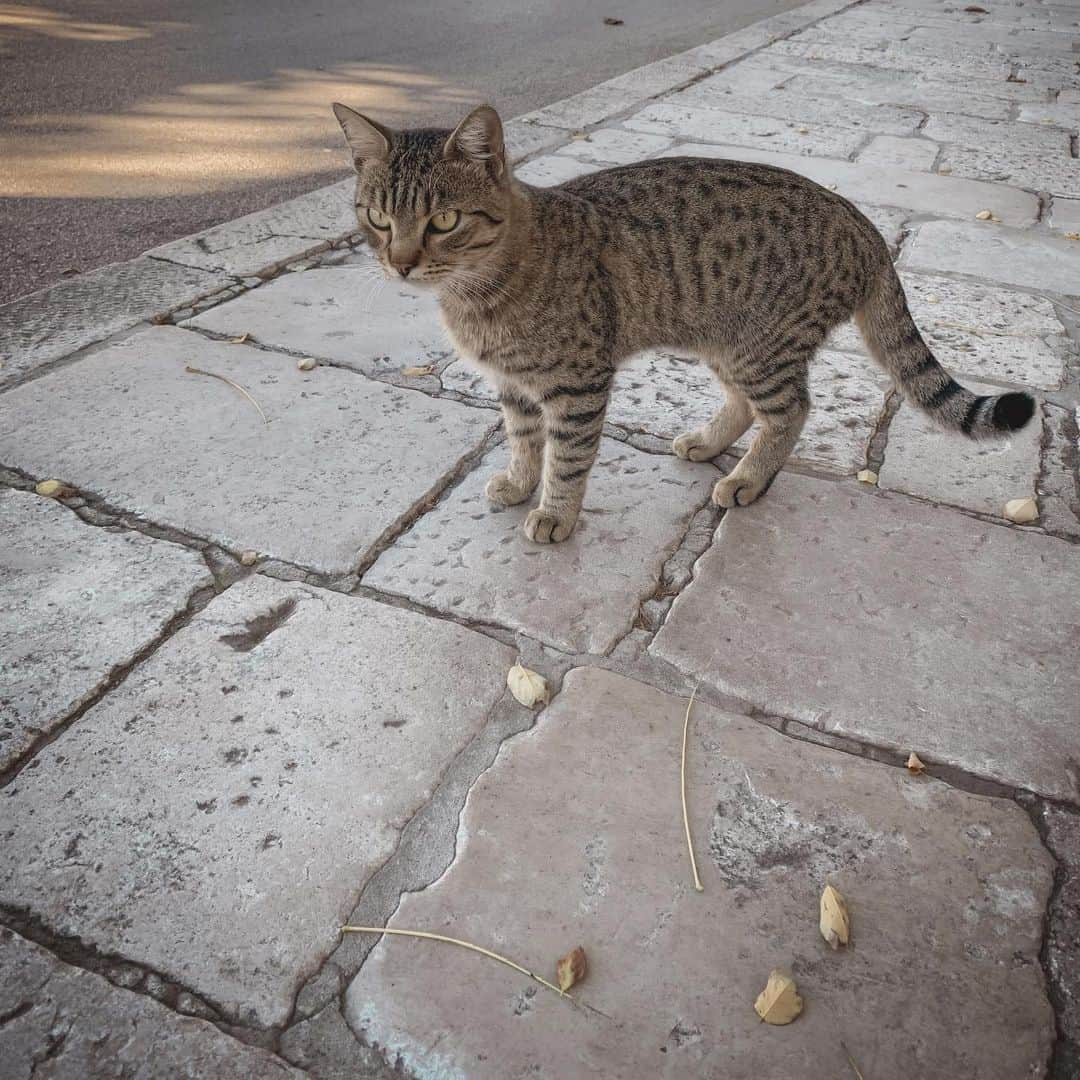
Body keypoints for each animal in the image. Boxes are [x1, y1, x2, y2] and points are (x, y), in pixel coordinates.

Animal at [332, 102, 1032, 544]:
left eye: (444, 221)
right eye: (376, 217)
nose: (400, 263)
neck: (477, 294)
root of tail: (865, 224)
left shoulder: (577, 385)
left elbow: (568, 457)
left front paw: (555, 513)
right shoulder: (516, 385)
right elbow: (525, 441)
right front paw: (520, 482)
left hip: (761, 345)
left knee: (793, 411)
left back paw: (748, 480)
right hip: (726, 341)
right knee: (747, 405)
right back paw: (709, 442)